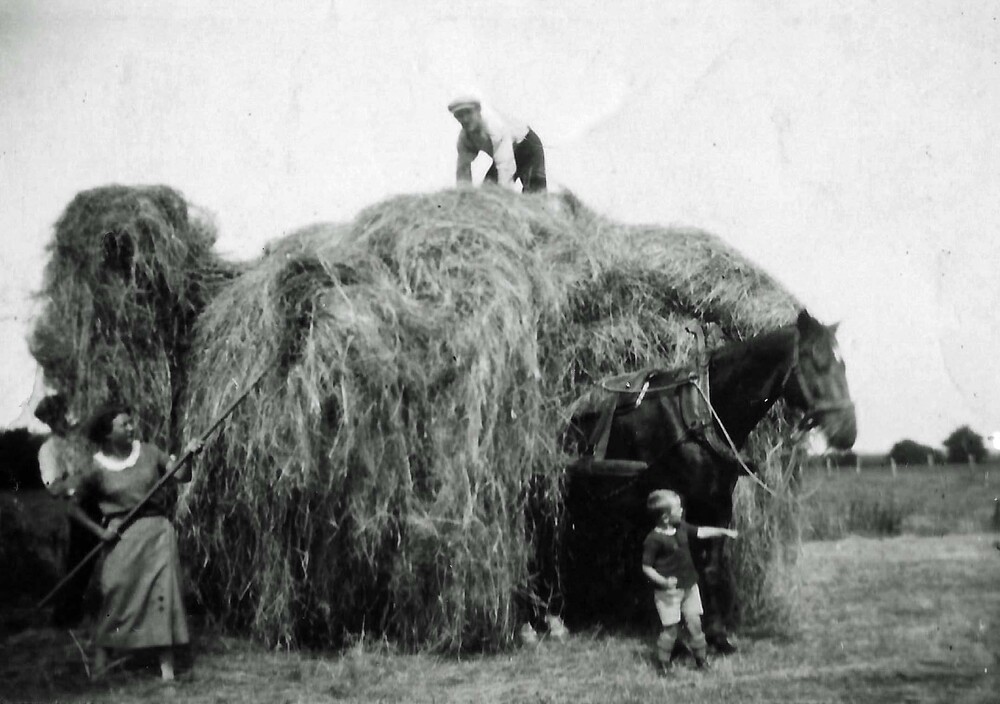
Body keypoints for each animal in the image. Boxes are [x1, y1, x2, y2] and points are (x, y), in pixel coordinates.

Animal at [560, 309, 856, 652]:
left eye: (843, 364)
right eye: (817, 362)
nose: (849, 432)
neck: (700, 416)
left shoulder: (718, 504)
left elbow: (711, 568)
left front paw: (717, 636)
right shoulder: (680, 505)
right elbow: (681, 565)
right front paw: (683, 635)